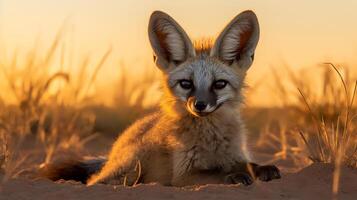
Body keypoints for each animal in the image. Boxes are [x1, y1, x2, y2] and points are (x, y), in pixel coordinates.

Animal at [42, 9, 280, 187]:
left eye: (219, 84)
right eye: (186, 84)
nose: (200, 105)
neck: (212, 141)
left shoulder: (236, 155)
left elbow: (247, 164)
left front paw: (261, 169)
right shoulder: (184, 173)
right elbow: (216, 174)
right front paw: (234, 176)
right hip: (130, 169)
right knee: (96, 181)